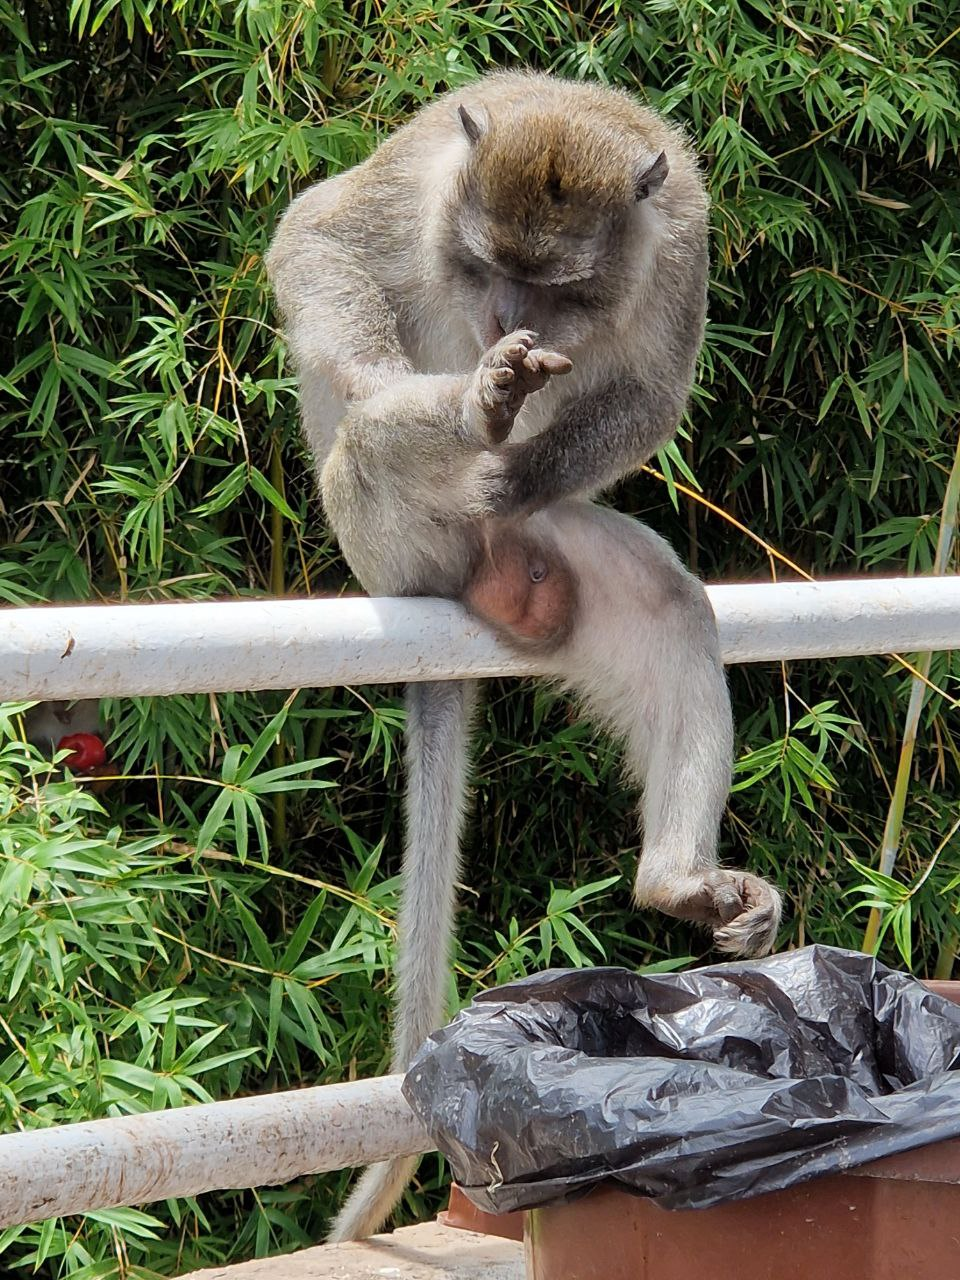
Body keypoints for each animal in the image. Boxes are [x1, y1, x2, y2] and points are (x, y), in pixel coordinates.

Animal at [265, 69, 783, 1241]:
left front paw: (517, 464)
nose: (508, 321)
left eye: (560, 284)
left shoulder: (683, 238)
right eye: (486, 265)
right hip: (377, 532)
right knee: (374, 431)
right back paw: (470, 410)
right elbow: (313, 234)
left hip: (550, 549)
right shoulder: (419, 177)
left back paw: (677, 882)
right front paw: (451, 399)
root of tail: (454, 581)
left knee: (672, 613)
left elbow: (652, 393)